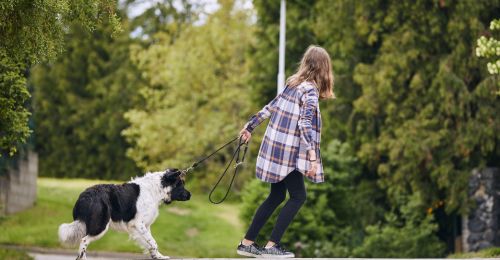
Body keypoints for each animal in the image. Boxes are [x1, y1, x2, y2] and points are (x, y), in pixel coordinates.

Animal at [58, 168, 190, 258]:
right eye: (180, 185)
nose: (190, 195)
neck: (155, 189)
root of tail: (84, 196)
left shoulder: (144, 226)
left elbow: (150, 244)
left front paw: (157, 256)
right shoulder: (138, 224)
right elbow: (153, 242)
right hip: (100, 225)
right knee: (83, 241)